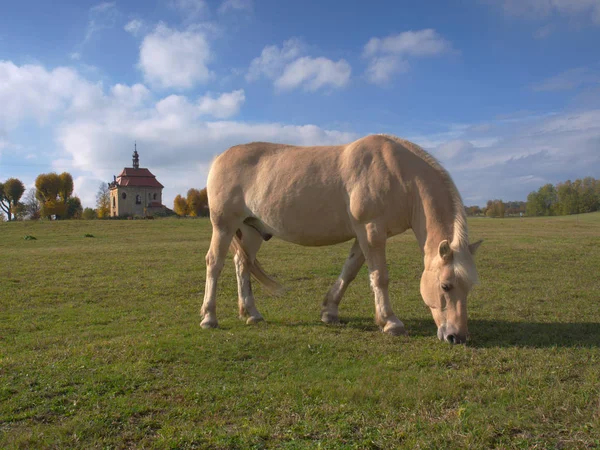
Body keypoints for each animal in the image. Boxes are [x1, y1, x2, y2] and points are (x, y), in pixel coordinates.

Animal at [202, 134, 482, 344]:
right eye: (445, 286)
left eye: (469, 287)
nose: (457, 336)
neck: (399, 174)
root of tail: (219, 158)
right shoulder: (371, 231)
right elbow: (380, 277)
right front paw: (391, 322)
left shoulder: (363, 235)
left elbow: (349, 272)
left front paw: (329, 311)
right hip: (224, 226)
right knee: (215, 263)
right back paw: (209, 317)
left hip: (250, 231)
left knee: (242, 265)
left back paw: (251, 314)